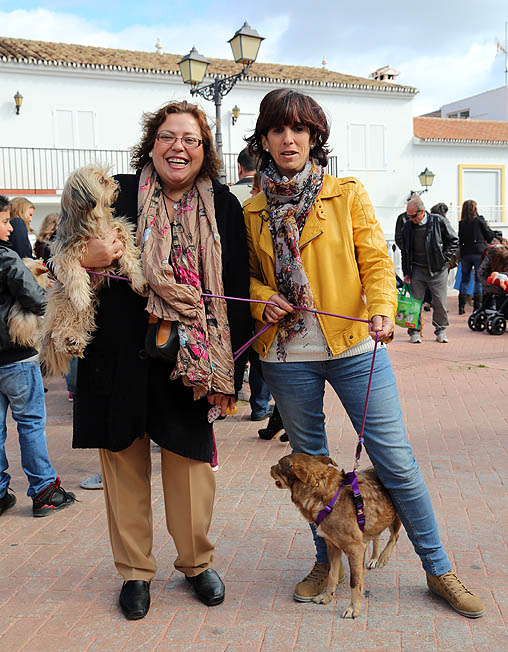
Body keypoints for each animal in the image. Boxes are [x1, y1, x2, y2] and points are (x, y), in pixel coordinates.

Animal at [40, 164, 146, 376]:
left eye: (107, 177)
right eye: (101, 180)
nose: (117, 182)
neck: (95, 220)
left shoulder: (119, 232)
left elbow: (130, 259)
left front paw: (138, 280)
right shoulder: (63, 254)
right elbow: (75, 272)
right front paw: (81, 296)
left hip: (86, 312)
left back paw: (73, 342)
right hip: (64, 302)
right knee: (60, 328)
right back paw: (69, 340)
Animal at [270, 450, 400, 620]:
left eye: (279, 466)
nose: (270, 467)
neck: (327, 497)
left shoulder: (355, 549)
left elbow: (354, 582)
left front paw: (353, 608)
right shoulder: (332, 546)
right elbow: (332, 574)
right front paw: (327, 596)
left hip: (397, 515)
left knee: (394, 535)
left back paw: (383, 557)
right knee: (376, 536)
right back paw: (374, 558)